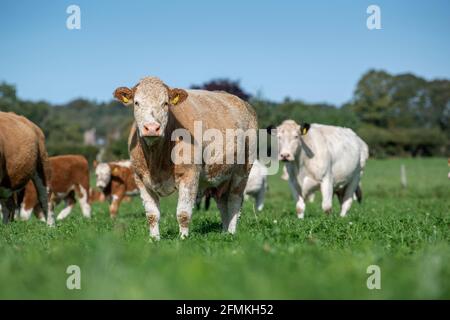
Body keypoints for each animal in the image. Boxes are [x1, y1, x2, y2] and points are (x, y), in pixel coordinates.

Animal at [113, 76, 256, 239]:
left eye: (165, 103)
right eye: (136, 103)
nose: (152, 128)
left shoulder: (190, 173)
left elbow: (183, 213)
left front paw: (183, 239)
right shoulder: (140, 178)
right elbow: (152, 215)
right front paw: (154, 239)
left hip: (242, 171)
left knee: (234, 201)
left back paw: (231, 232)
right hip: (220, 176)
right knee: (222, 203)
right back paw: (224, 232)